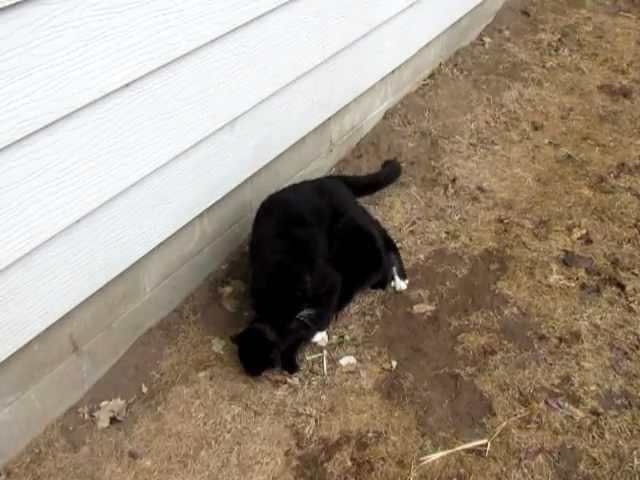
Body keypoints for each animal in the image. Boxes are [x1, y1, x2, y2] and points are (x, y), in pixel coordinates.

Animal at [232, 159, 408, 376]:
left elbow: (325, 308)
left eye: (289, 317)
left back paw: (400, 278)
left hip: (350, 215)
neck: (278, 266)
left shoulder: (331, 280)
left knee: (384, 236)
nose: (285, 329)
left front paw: (318, 333)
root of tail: (324, 179)